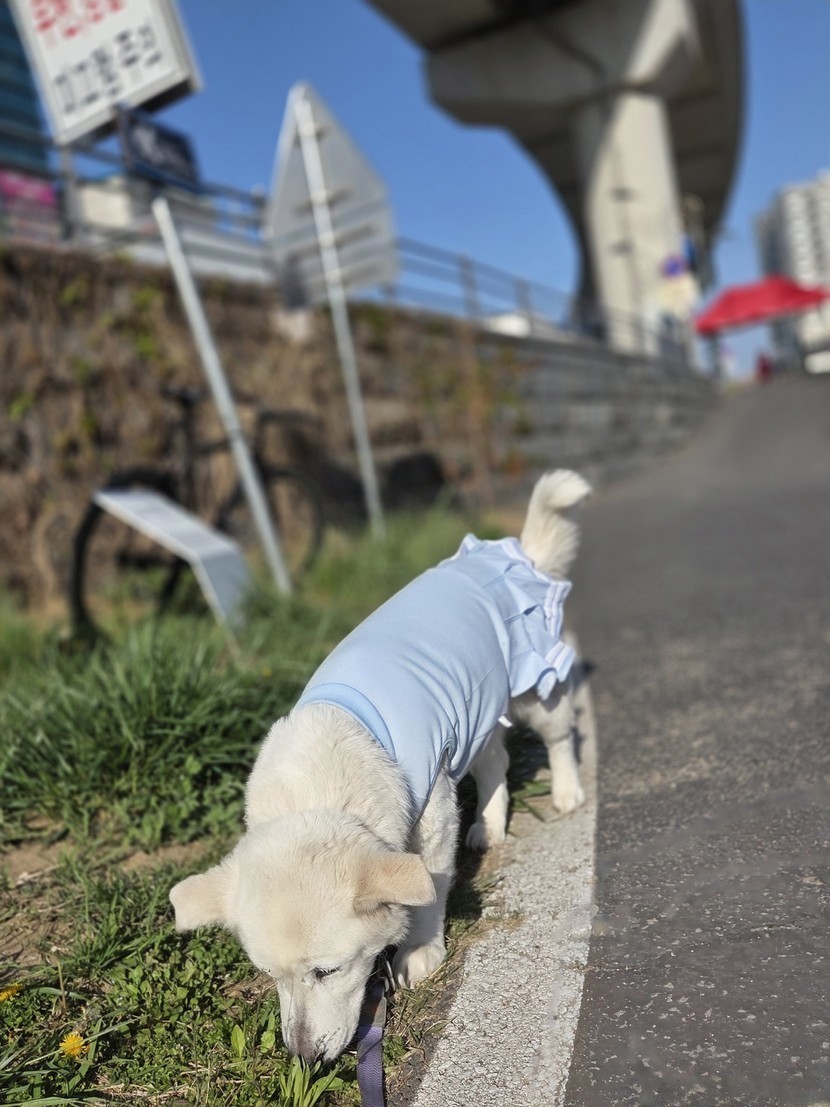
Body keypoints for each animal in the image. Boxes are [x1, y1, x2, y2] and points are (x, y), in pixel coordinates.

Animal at [169, 469, 591, 1063]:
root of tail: (504, 555)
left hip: (535, 692)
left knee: (560, 732)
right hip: (477, 718)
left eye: (327, 971)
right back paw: (489, 824)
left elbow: (431, 891)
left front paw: (420, 950)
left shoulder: (433, 818)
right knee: (496, 761)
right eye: (271, 977)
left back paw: (568, 791)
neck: (320, 792)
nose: (304, 1058)